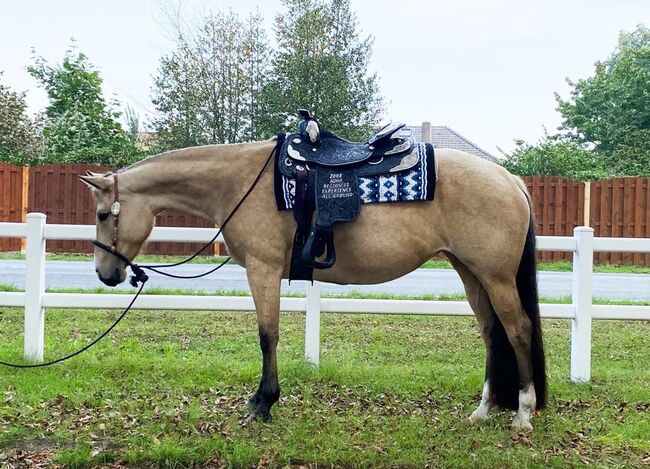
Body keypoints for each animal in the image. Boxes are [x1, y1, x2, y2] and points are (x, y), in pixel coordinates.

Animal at [81, 119, 548, 432]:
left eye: (103, 215)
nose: (106, 274)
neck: (239, 182)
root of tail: (509, 178)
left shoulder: (264, 269)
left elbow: (267, 335)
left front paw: (262, 403)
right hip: (471, 273)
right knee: (491, 332)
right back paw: (484, 409)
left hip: (496, 277)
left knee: (518, 329)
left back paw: (523, 413)